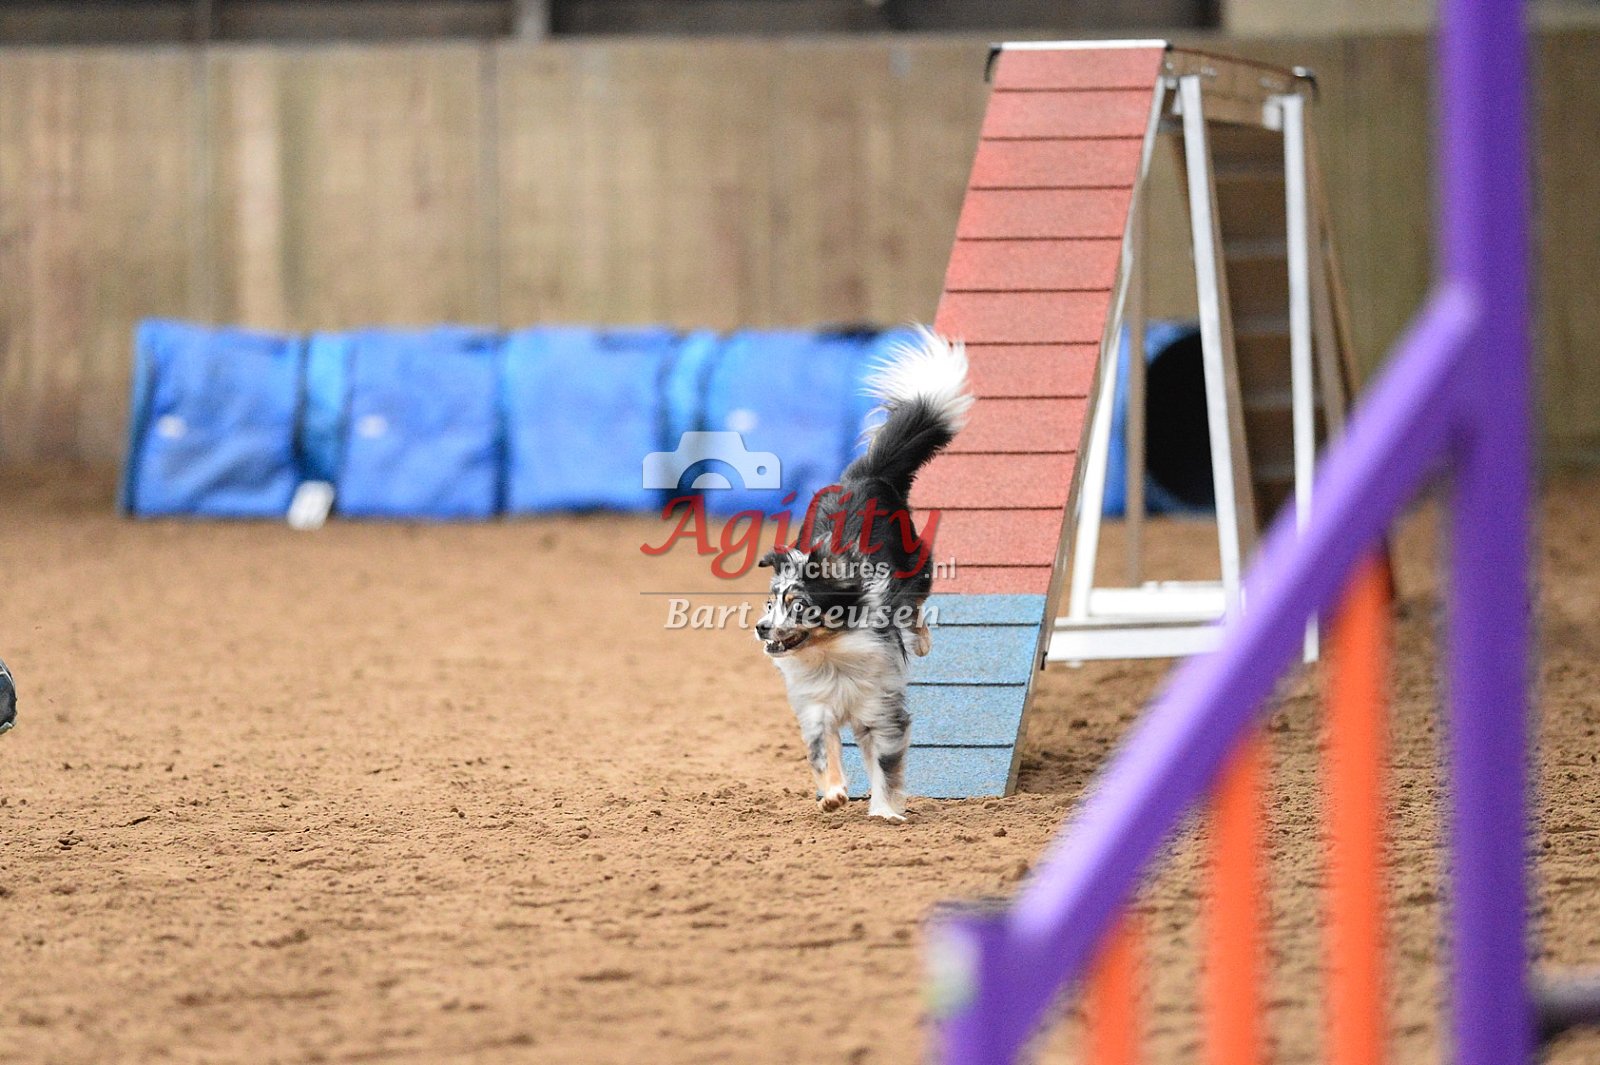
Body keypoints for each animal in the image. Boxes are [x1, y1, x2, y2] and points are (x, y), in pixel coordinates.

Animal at [755, 328, 971, 821]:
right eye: (771, 601)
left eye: (799, 605)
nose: (760, 628)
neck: (831, 655)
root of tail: (866, 473)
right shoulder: (817, 709)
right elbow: (823, 753)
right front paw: (834, 794)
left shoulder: (880, 708)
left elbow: (885, 763)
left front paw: (886, 811)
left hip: (918, 565)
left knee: (915, 605)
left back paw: (922, 641)